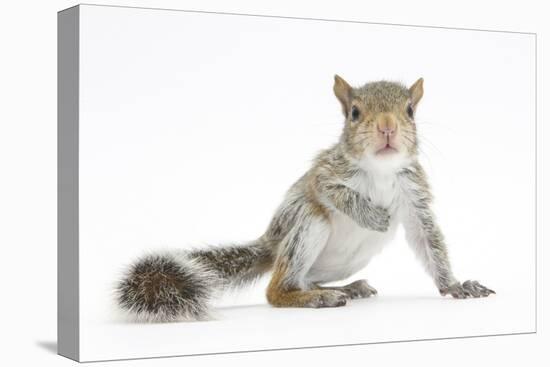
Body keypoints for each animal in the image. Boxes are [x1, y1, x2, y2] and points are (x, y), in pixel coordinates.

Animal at [115, 75, 496, 322]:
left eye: (410, 110)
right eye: (354, 112)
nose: (387, 127)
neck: (380, 170)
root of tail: (272, 245)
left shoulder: (414, 196)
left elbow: (429, 242)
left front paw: (457, 286)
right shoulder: (324, 175)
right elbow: (335, 192)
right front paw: (373, 216)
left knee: (303, 278)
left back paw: (345, 289)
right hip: (308, 225)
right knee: (276, 290)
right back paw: (318, 298)